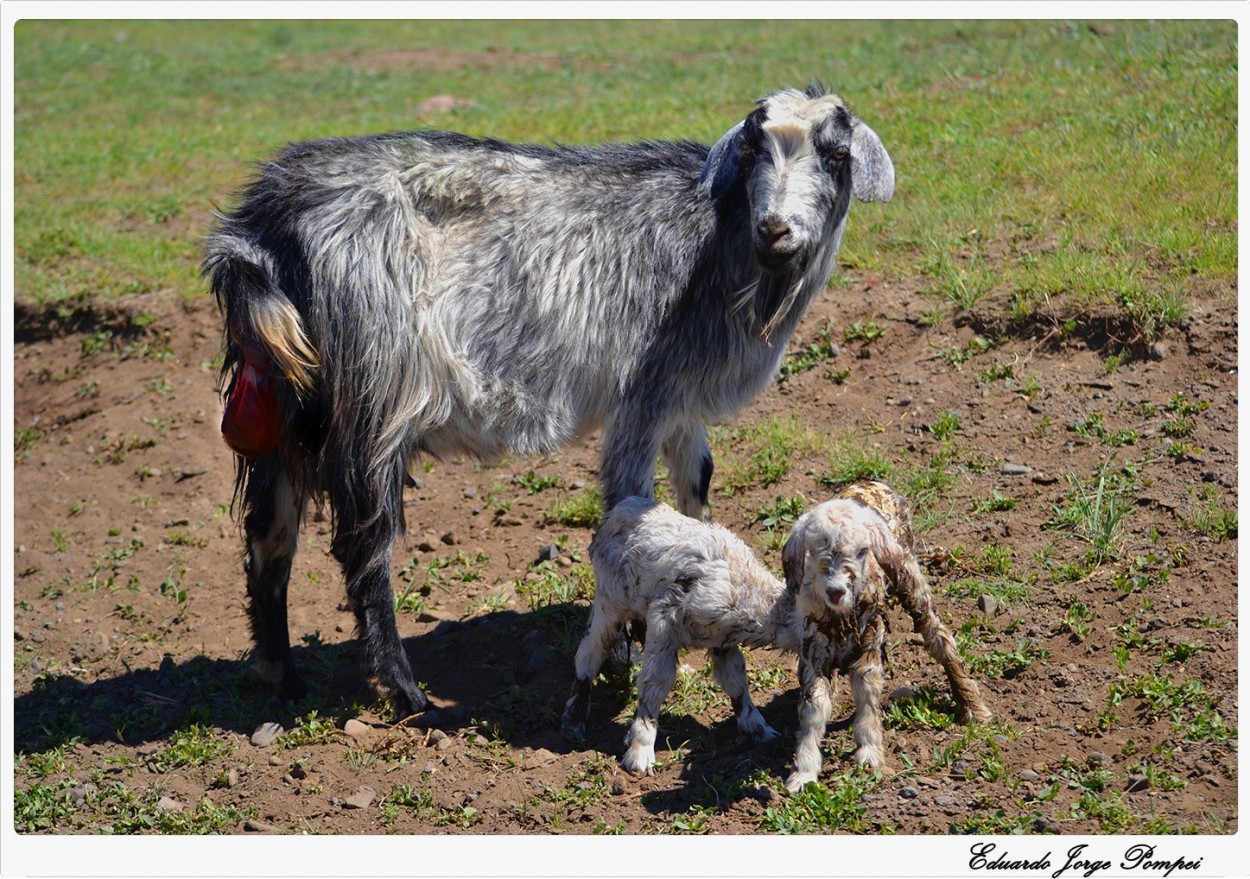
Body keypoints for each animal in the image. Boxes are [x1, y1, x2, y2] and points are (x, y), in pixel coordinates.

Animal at [202, 82, 890, 720]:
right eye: (754, 150)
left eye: (835, 153)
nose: (775, 229)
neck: (720, 244)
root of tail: (259, 229)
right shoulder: (642, 395)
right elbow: (630, 507)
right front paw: (626, 647)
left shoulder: (681, 399)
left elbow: (696, 488)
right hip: (375, 399)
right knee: (362, 545)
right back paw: (405, 690)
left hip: (286, 406)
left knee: (269, 535)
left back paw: (282, 675)